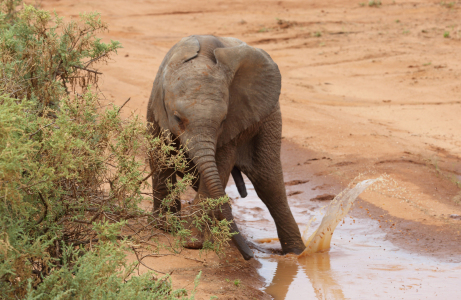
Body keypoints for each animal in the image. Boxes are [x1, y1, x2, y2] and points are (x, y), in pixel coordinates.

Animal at [147, 35, 304, 260]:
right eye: (177, 118)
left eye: (222, 121)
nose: (250, 256)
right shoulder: (155, 108)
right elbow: (159, 157)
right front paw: (164, 227)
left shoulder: (232, 123)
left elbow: (220, 166)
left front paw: (192, 242)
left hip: (270, 118)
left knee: (268, 183)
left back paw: (296, 253)